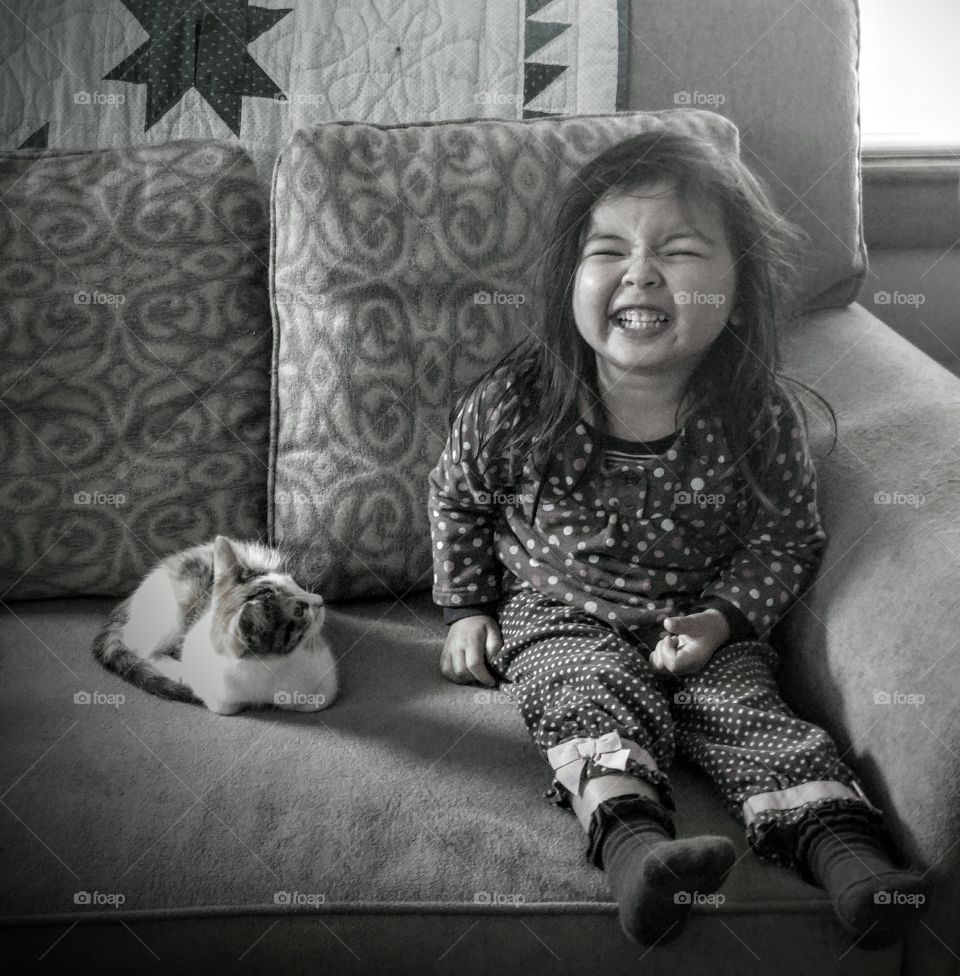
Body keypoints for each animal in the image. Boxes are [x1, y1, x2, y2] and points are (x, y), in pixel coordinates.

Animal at [91, 532, 338, 716]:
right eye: (299, 610)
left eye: (296, 583)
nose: (320, 600)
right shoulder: (215, 683)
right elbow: (221, 705)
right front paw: (184, 675)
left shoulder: (324, 671)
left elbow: (319, 698)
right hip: (172, 614)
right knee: (138, 645)